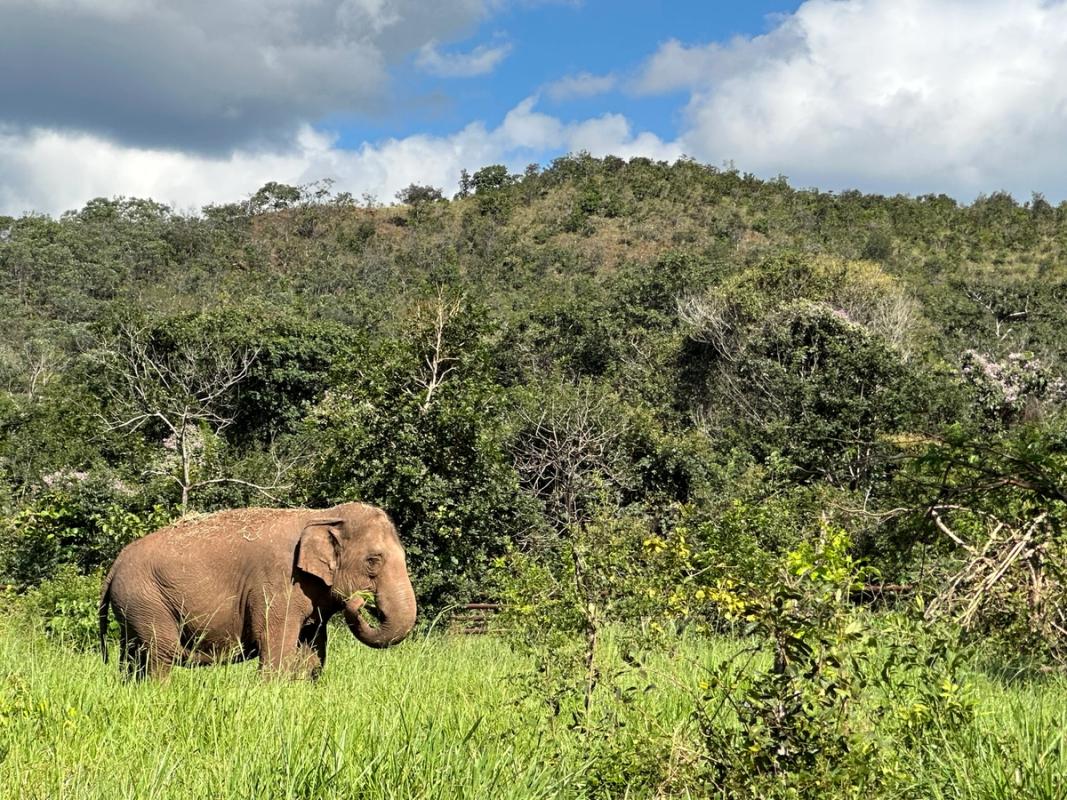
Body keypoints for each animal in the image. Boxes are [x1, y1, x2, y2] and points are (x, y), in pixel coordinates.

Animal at [98, 502, 416, 679]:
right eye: (373, 561)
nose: (362, 602)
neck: (324, 514)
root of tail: (115, 564)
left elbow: (312, 652)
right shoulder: (278, 582)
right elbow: (275, 643)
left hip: (133, 607)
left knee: (133, 656)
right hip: (146, 600)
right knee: (158, 654)